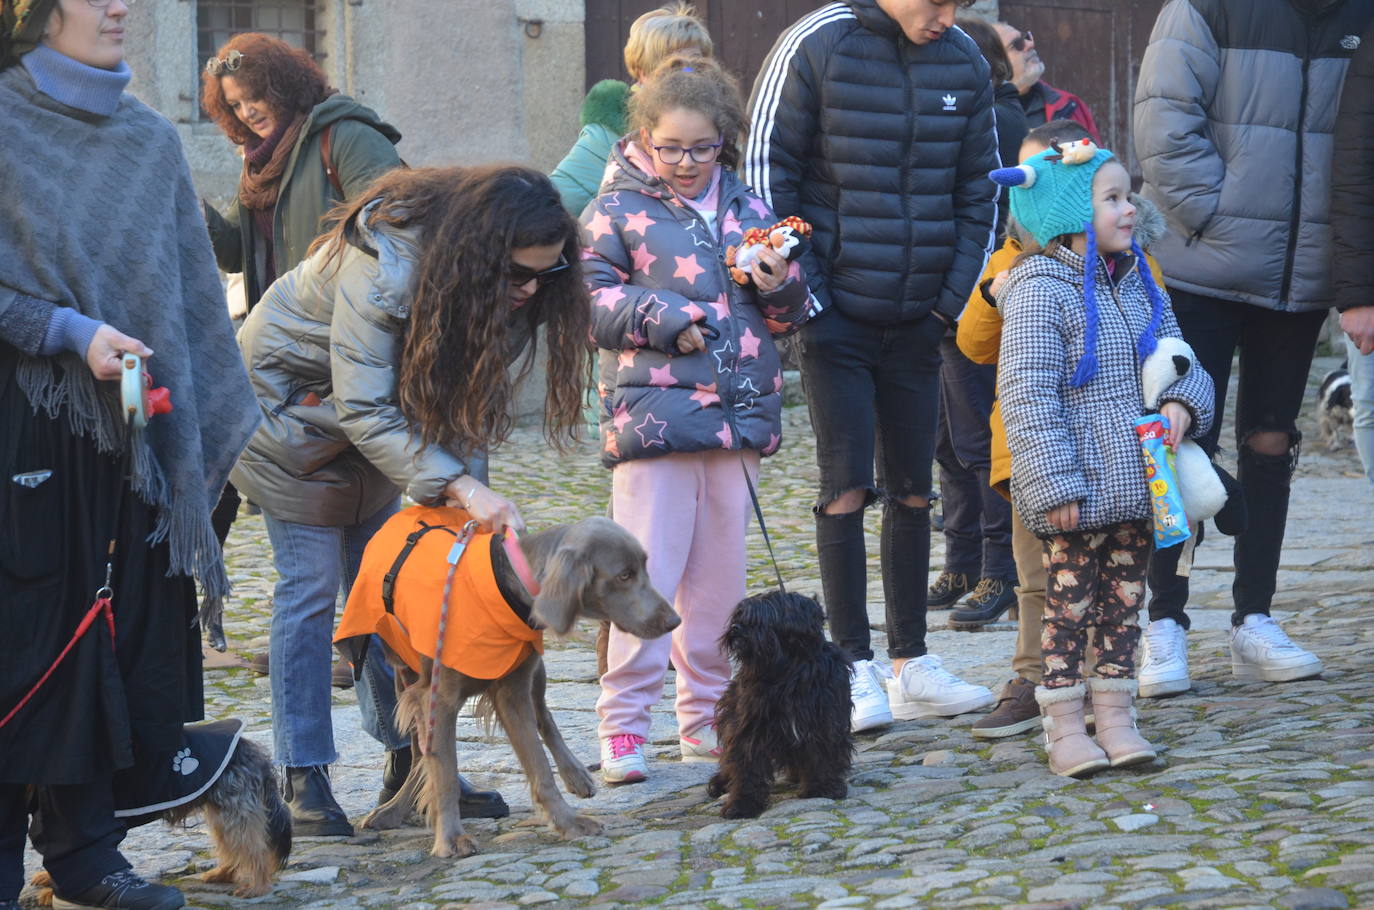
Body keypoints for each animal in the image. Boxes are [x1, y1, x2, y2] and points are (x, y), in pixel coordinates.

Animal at [708, 591, 846, 819]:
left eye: (761, 618)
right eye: (738, 616)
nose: (736, 628)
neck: (785, 672)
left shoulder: (823, 721)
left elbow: (822, 755)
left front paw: (822, 788)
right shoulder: (748, 728)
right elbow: (746, 768)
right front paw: (741, 804)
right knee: (729, 762)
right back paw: (719, 782)